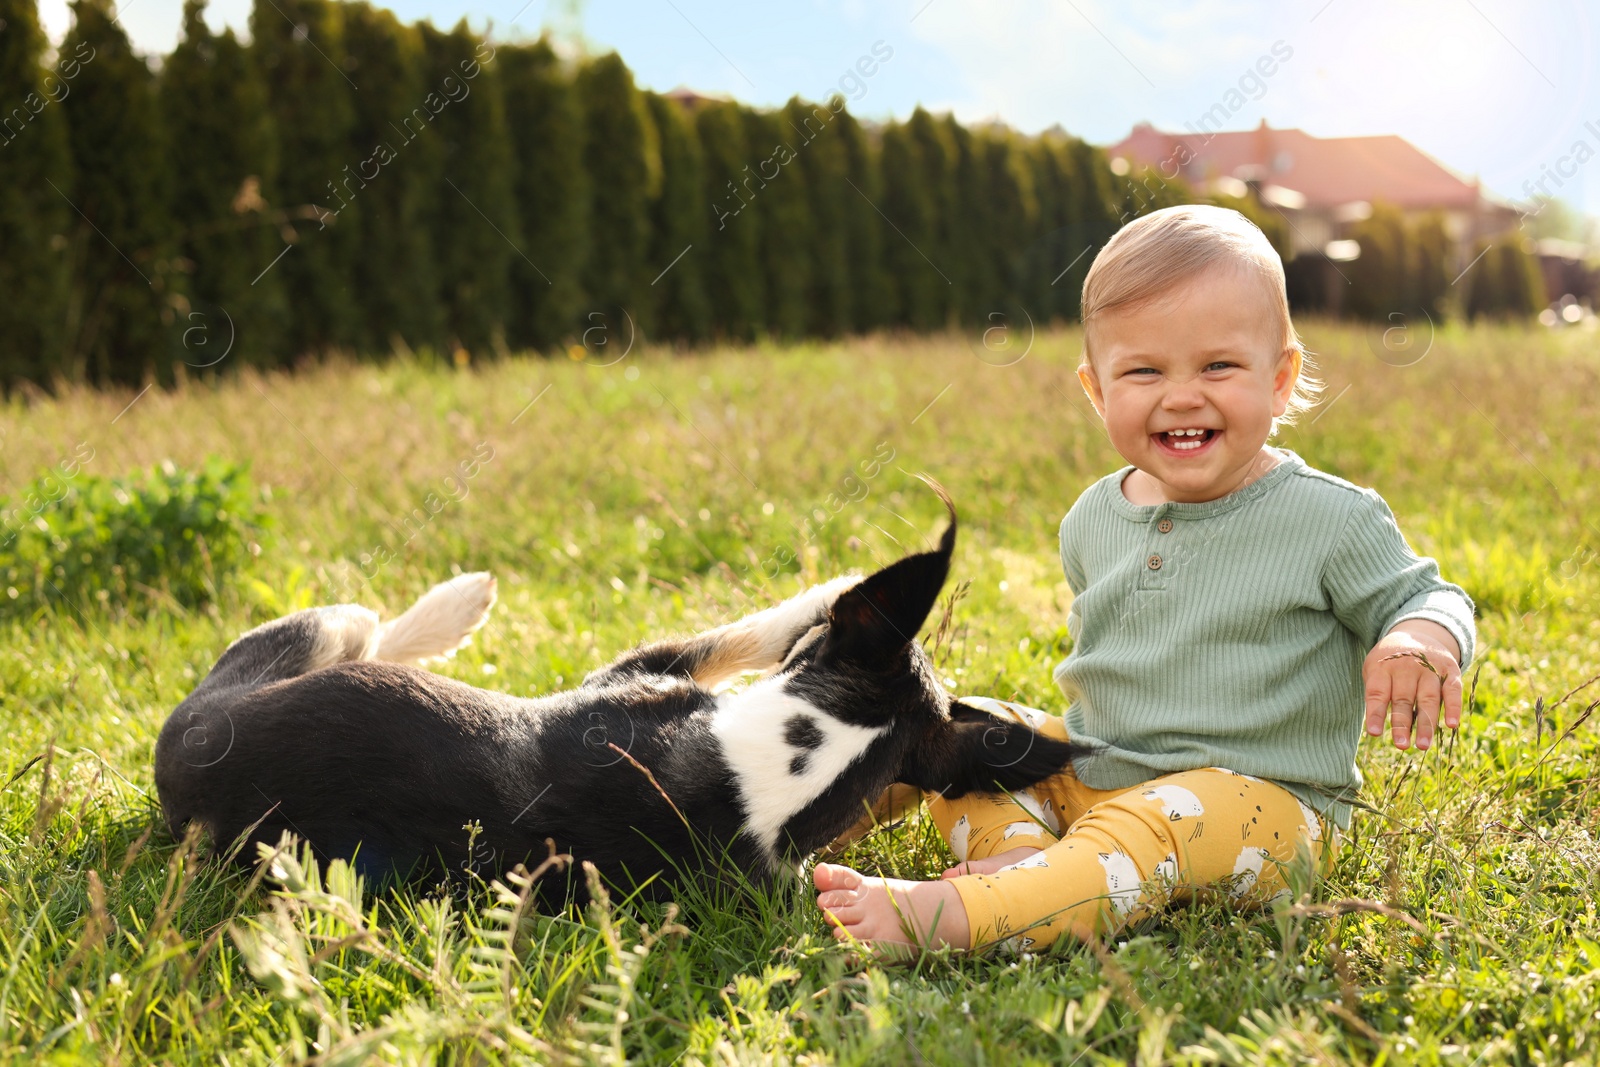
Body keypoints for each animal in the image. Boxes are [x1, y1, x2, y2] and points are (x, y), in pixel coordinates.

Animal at [156, 505, 1081, 895]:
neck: (767, 779)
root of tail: (179, 783)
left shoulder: (635, 672)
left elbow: (746, 632)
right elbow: (760, 628)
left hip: (307, 636)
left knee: (372, 627)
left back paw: (456, 602)